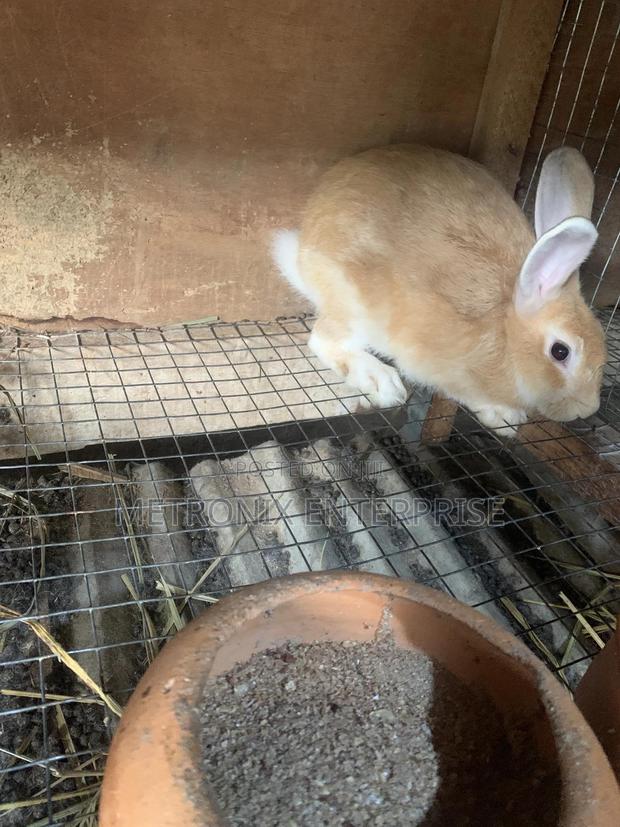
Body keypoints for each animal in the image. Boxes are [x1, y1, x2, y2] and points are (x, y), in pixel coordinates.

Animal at [272, 144, 607, 433]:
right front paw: (505, 416)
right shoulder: (443, 368)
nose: (587, 409)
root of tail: (304, 249)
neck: (505, 332)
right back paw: (382, 381)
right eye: (560, 352)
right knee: (323, 340)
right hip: (355, 304)